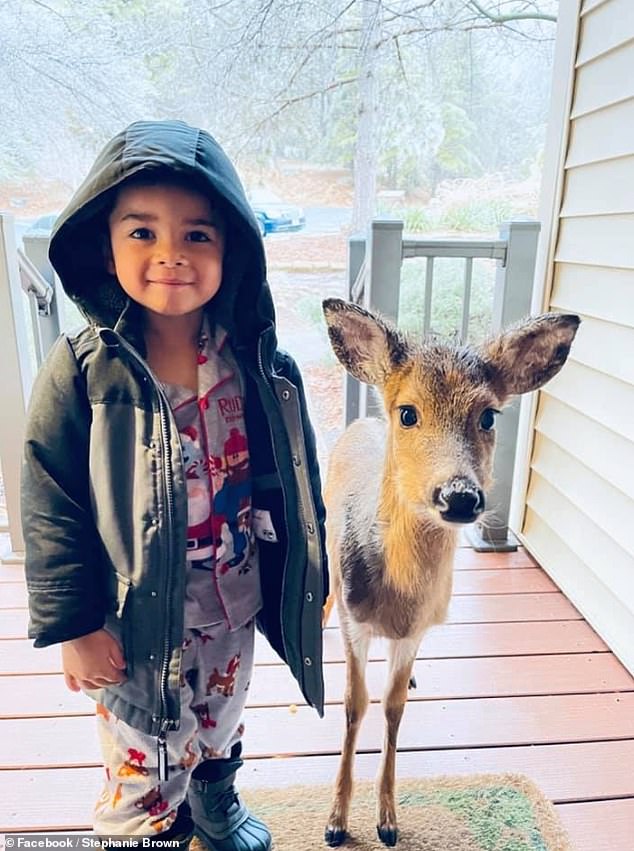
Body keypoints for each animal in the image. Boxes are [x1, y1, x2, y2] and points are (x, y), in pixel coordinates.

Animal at [320, 298, 576, 844]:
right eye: (408, 412)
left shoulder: (417, 629)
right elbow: (354, 705)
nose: (459, 496)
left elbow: (393, 706)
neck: (396, 600)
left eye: (489, 415)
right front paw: (335, 822)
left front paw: (388, 821)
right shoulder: (355, 619)